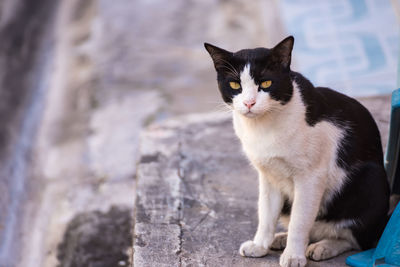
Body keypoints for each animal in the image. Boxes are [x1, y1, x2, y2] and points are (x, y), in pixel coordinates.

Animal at [205, 36, 390, 267]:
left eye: (266, 83)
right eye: (234, 84)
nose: (249, 103)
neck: (264, 126)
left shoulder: (311, 177)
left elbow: (300, 220)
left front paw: (294, 256)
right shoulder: (269, 176)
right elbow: (266, 214)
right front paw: (260, 246)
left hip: (371, 180)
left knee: (357, 239)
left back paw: (323, 247)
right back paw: (282, 239)